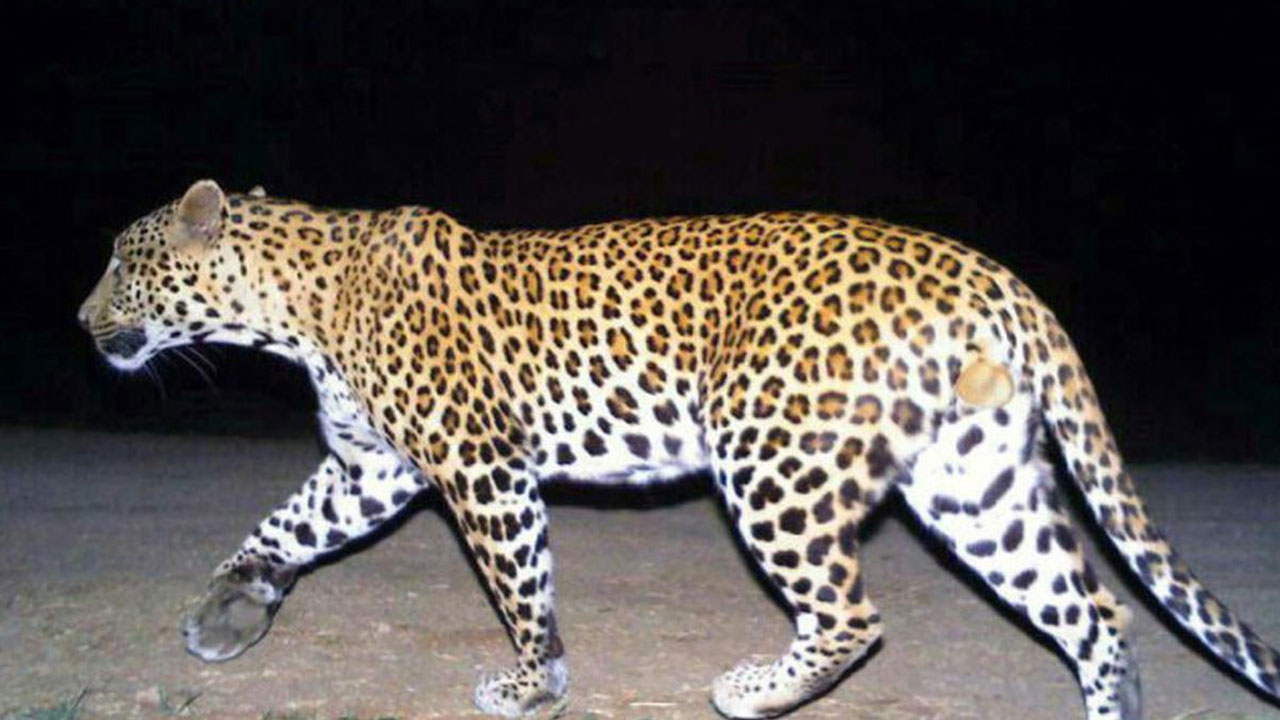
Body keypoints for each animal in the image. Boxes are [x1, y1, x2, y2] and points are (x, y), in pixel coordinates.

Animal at [78, 179, 1280, 719]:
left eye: (124, 265)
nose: (82, 322)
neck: (294, 306)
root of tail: (989, 274)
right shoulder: (370, 467)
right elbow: (283, 524)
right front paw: (231, 606)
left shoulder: (478, 467)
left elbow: (519, 584)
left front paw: (534, 683)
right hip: (972, 482)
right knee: (1096, 611)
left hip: (771, 459)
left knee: (853, 615)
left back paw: (755, 688)